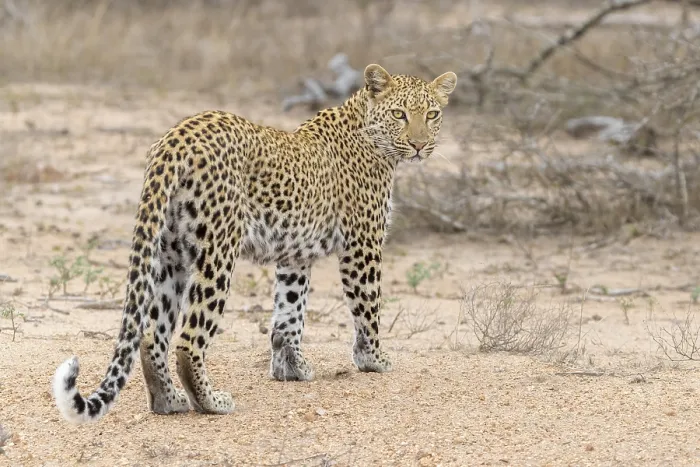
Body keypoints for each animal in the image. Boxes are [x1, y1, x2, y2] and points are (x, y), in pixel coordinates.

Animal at [52, 63, 457, 423]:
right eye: (399, 114)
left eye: (432, 114)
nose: (420, 145)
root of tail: (176, 138)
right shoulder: (363, 245)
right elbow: (368, 307)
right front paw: (373, 359)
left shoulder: (295, 256)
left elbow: (289, 313)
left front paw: (290, 368)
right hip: (217, 251)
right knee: (188, 339)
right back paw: (211, 402)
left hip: (170, 254)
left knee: (152, 334)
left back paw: (169, 400)